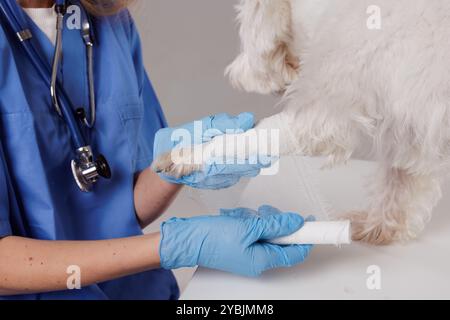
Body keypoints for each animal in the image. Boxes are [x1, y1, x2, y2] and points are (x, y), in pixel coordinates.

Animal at [153, 0, 448, 245]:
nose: (234, 75)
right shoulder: (408, 127)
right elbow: (400, 180)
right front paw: (379, 227)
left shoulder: (320, 118)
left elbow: (250, 137)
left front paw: (188, 154)